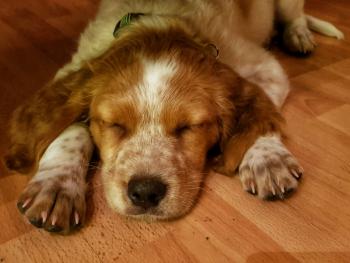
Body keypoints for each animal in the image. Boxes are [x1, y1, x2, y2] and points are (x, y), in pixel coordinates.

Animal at [3, 0, 342, 235]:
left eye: (189, 127)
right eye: (114, 124)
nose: (145, 192)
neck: (160, 22)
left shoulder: (266, 68)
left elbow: (264, 114)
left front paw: (268, 158)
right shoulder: (74, 68)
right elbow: (70, 127)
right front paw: (56, 184)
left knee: (295, 16)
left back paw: (298, 36)